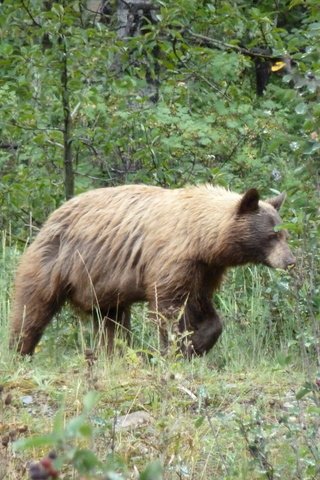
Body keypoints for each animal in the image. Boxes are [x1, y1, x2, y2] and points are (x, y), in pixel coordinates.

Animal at [9, 186, 296, 354]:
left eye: (285, 234)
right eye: (272, 236)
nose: (290, 260)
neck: (202, 238)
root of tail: (52, 215)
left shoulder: (205, 270)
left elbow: (202, 305)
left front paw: (199, 343)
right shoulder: (172, 259)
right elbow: (169, 309)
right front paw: (176, 348)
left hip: (103, 284)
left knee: (110, 322)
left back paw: (114, 353)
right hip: (56, 262)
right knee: (32, 308)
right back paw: (19, 349)